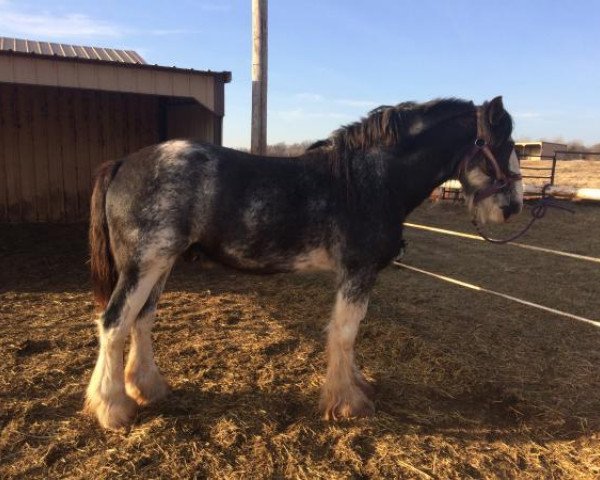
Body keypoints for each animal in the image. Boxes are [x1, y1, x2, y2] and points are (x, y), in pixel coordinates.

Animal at [86, 95, 524, 430]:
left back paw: (148, 389)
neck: (367, 181)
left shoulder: (351, 276)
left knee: (142, 321)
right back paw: (113, 409)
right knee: (114, 324)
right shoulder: (358, 272)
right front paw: (347, 403)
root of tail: (123, 163)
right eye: (503, 146)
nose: (514, 207)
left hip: (161, 265)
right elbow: (344, 334)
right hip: (143, 265)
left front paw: (356, 386)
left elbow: (347, 335)